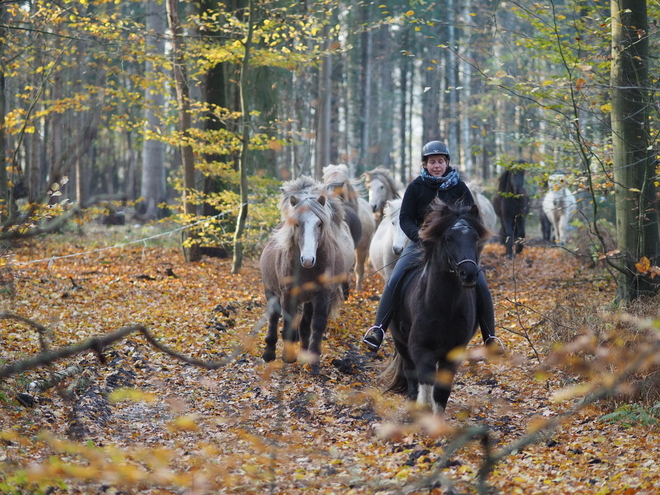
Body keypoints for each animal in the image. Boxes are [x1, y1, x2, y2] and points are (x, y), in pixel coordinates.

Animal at [382, 201, 490, 414]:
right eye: (448, 238)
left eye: (475, 238)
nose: (469, 274)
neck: (445, 306)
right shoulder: (421, 349)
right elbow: (425, 385)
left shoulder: (453, 353)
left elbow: (441, 392)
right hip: (401, 342)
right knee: (411, 375)